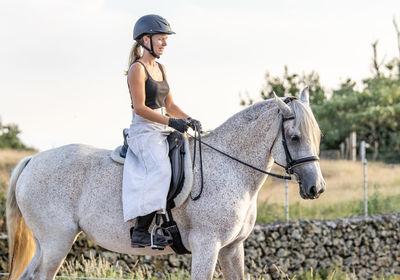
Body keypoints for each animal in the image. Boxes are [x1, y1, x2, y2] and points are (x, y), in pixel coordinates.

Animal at [6, 88, 324, 278]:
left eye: (317, 135)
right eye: (294, 137)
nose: (316, 188)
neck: (232, 168)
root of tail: (32, 160)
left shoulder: (232, 248)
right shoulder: (207, 247)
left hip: (45, 243)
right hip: (56, 241)